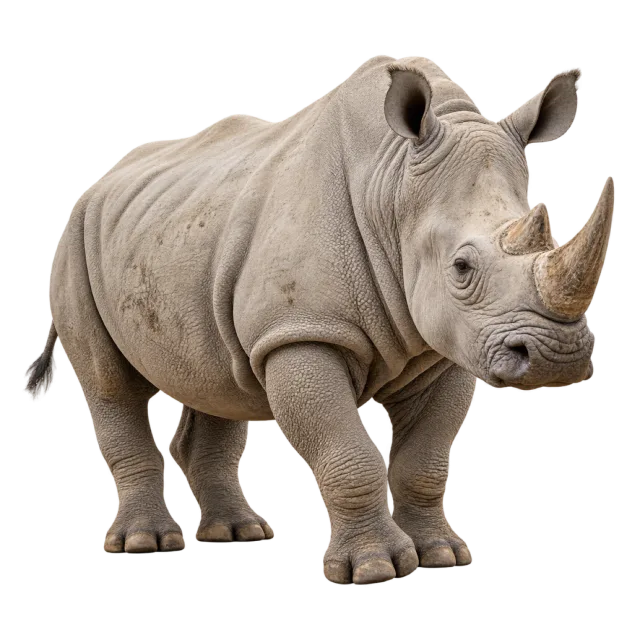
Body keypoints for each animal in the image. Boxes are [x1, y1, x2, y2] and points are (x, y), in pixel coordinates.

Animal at [25, 55, 615, 585]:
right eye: (462, 267)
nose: (557, 359)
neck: (394, 187)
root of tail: (97, 183)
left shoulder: (450, 343)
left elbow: (425, 461)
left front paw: (442, 556)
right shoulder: (300, 333)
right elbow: (347, 454)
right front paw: (374, 568)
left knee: (214, 375)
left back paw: (240, 535)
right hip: (74, 241)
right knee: (111, 381)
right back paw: (146, 543)